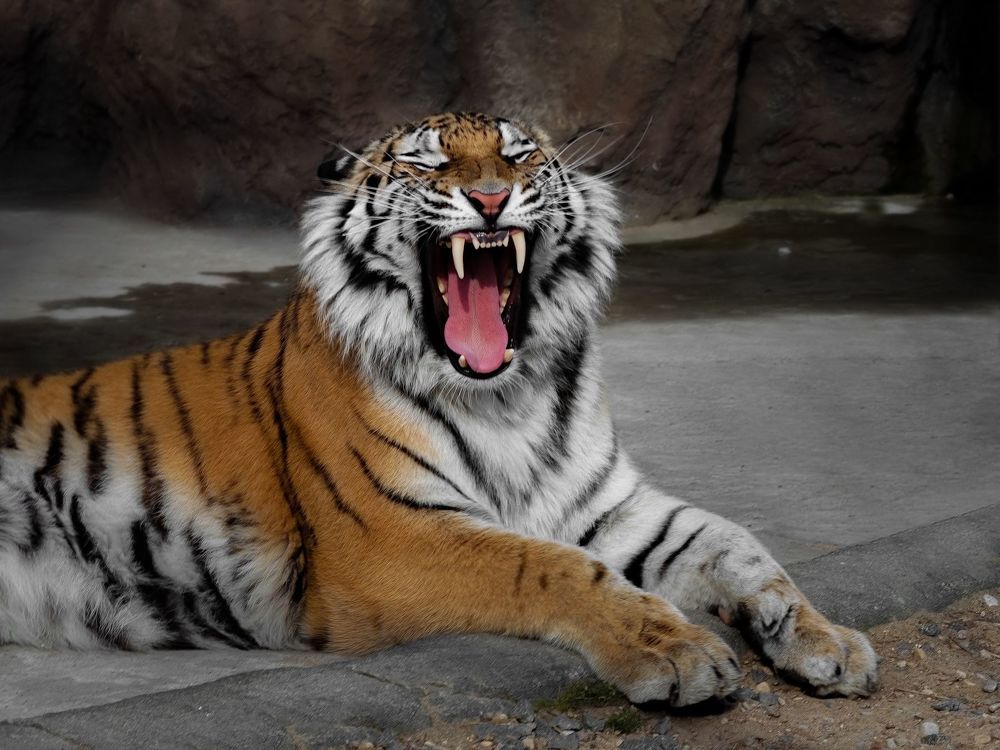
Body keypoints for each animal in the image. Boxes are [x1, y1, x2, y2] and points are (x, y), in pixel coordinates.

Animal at [0, 112, 878, 706]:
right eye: (429, 161)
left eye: (518, 154)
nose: (490, 196)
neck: (508, 396)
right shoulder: (392, 536)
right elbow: (551, 566)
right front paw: (678, 653)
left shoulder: (607, 504)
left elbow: (740, 546)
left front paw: (828, 641)